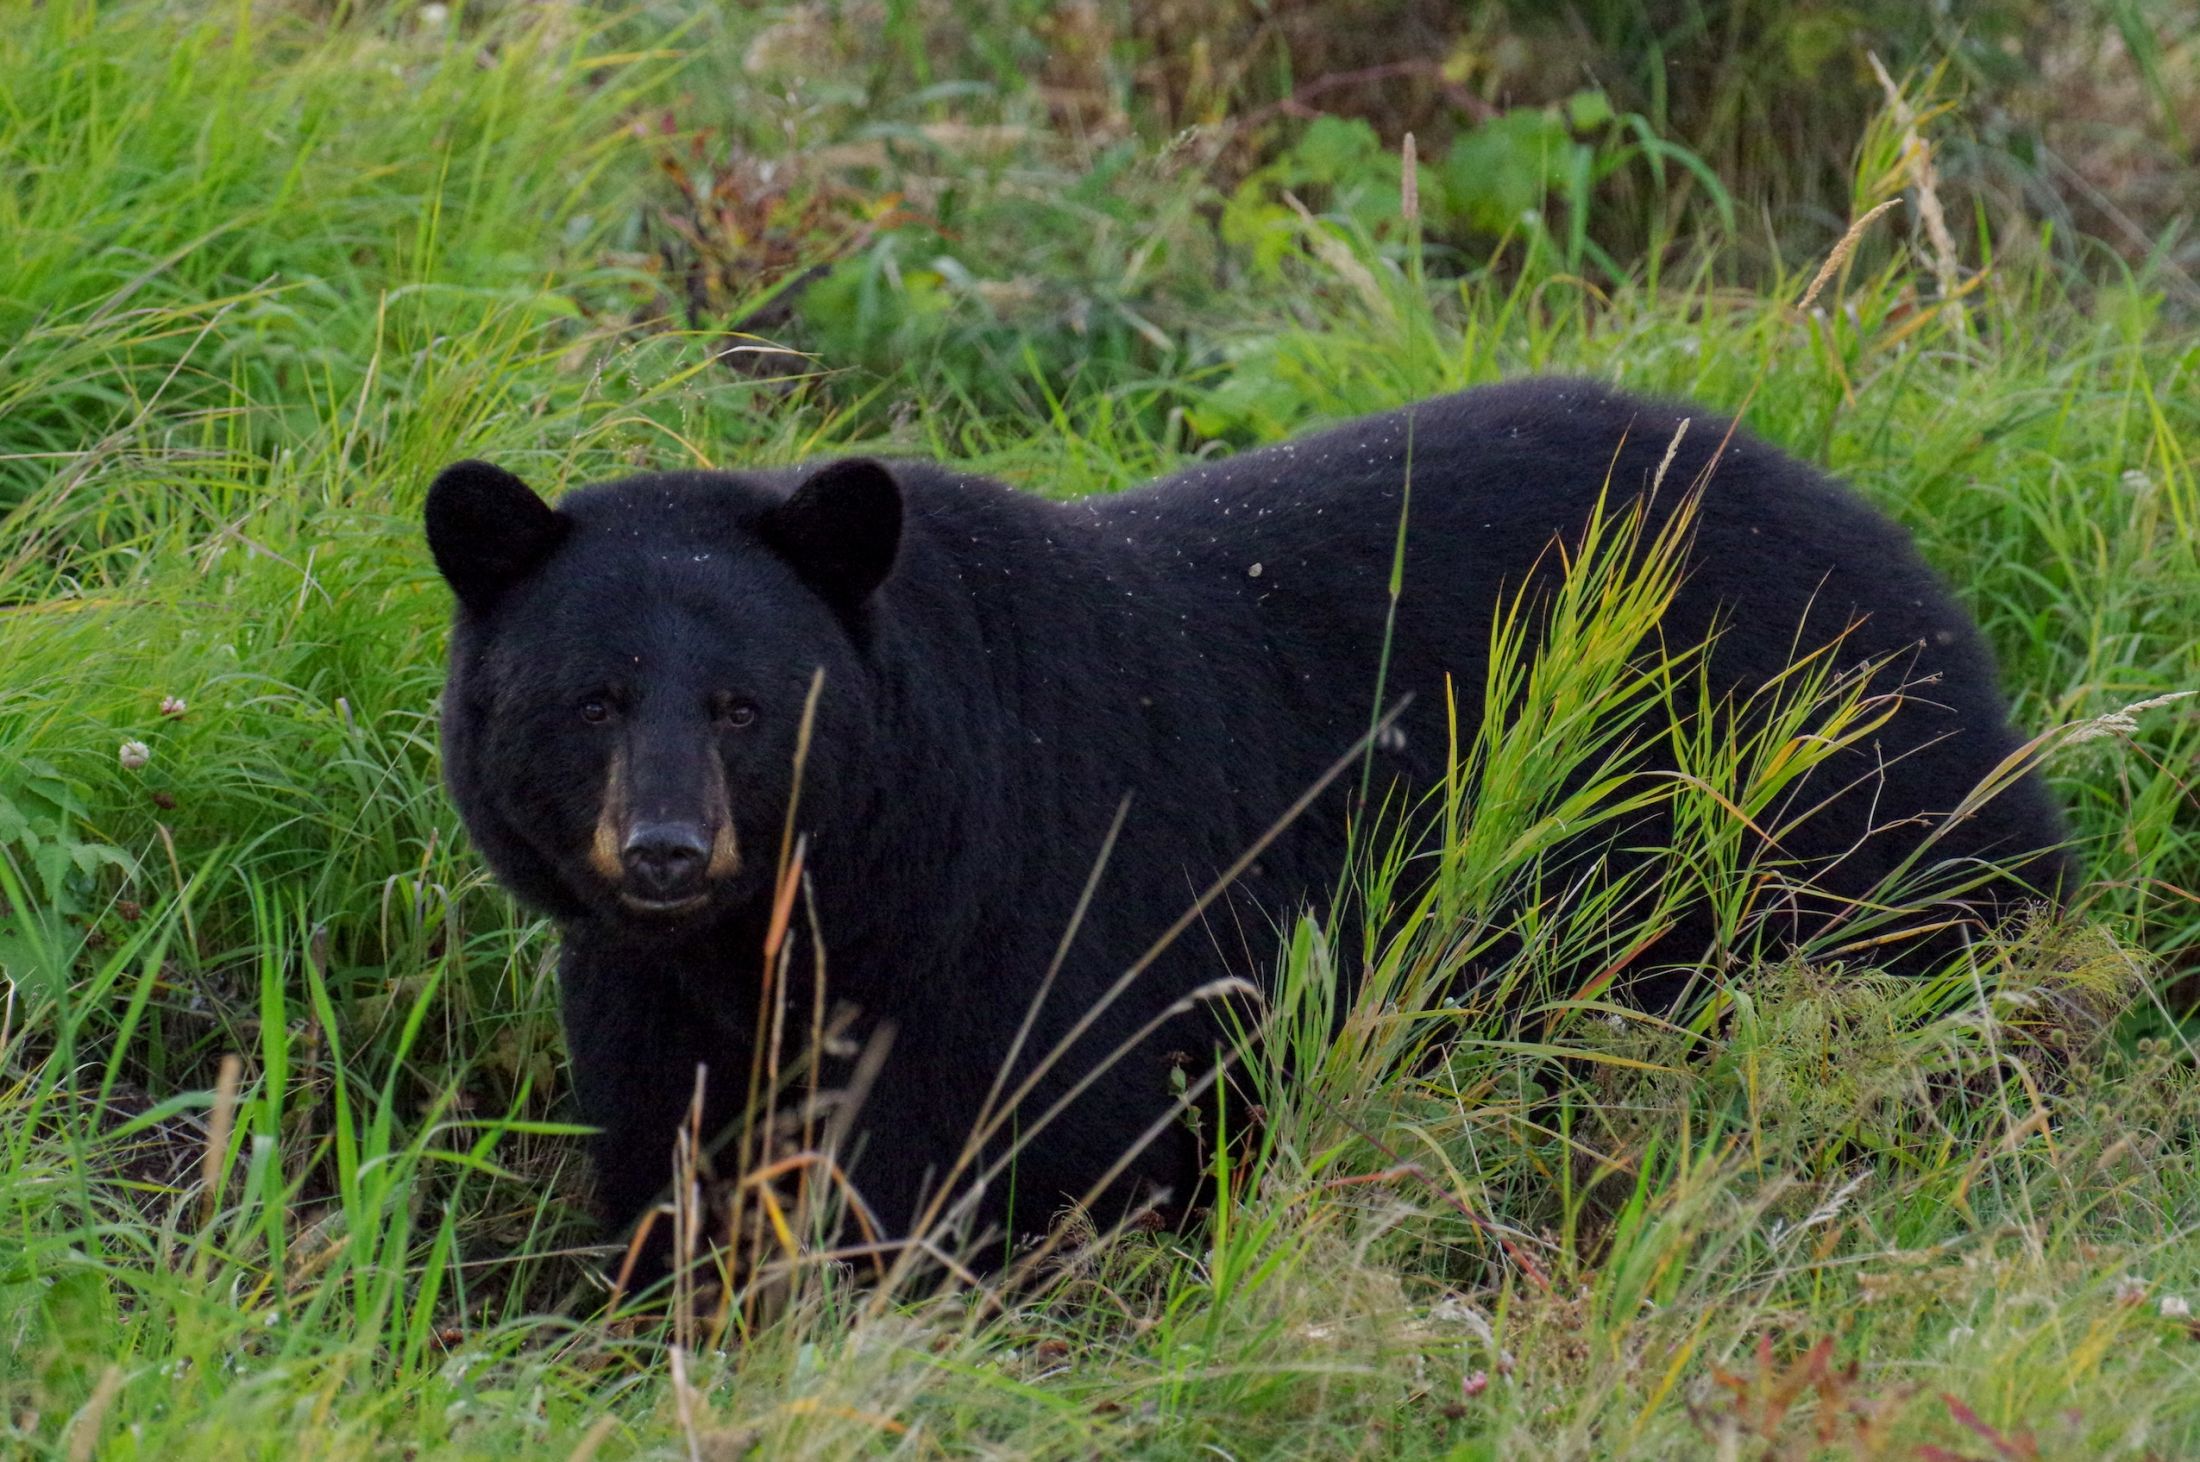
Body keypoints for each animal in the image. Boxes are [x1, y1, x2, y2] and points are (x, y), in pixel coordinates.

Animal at [424, 377, 2073, 1269]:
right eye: (592, 698)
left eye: (745, 707)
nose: (665, 851)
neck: (832, 909)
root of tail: (1914, 570)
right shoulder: (650, 996)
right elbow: (671, 1171)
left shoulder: (1026, 929)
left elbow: (1033, 1153)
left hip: (1816, 816)